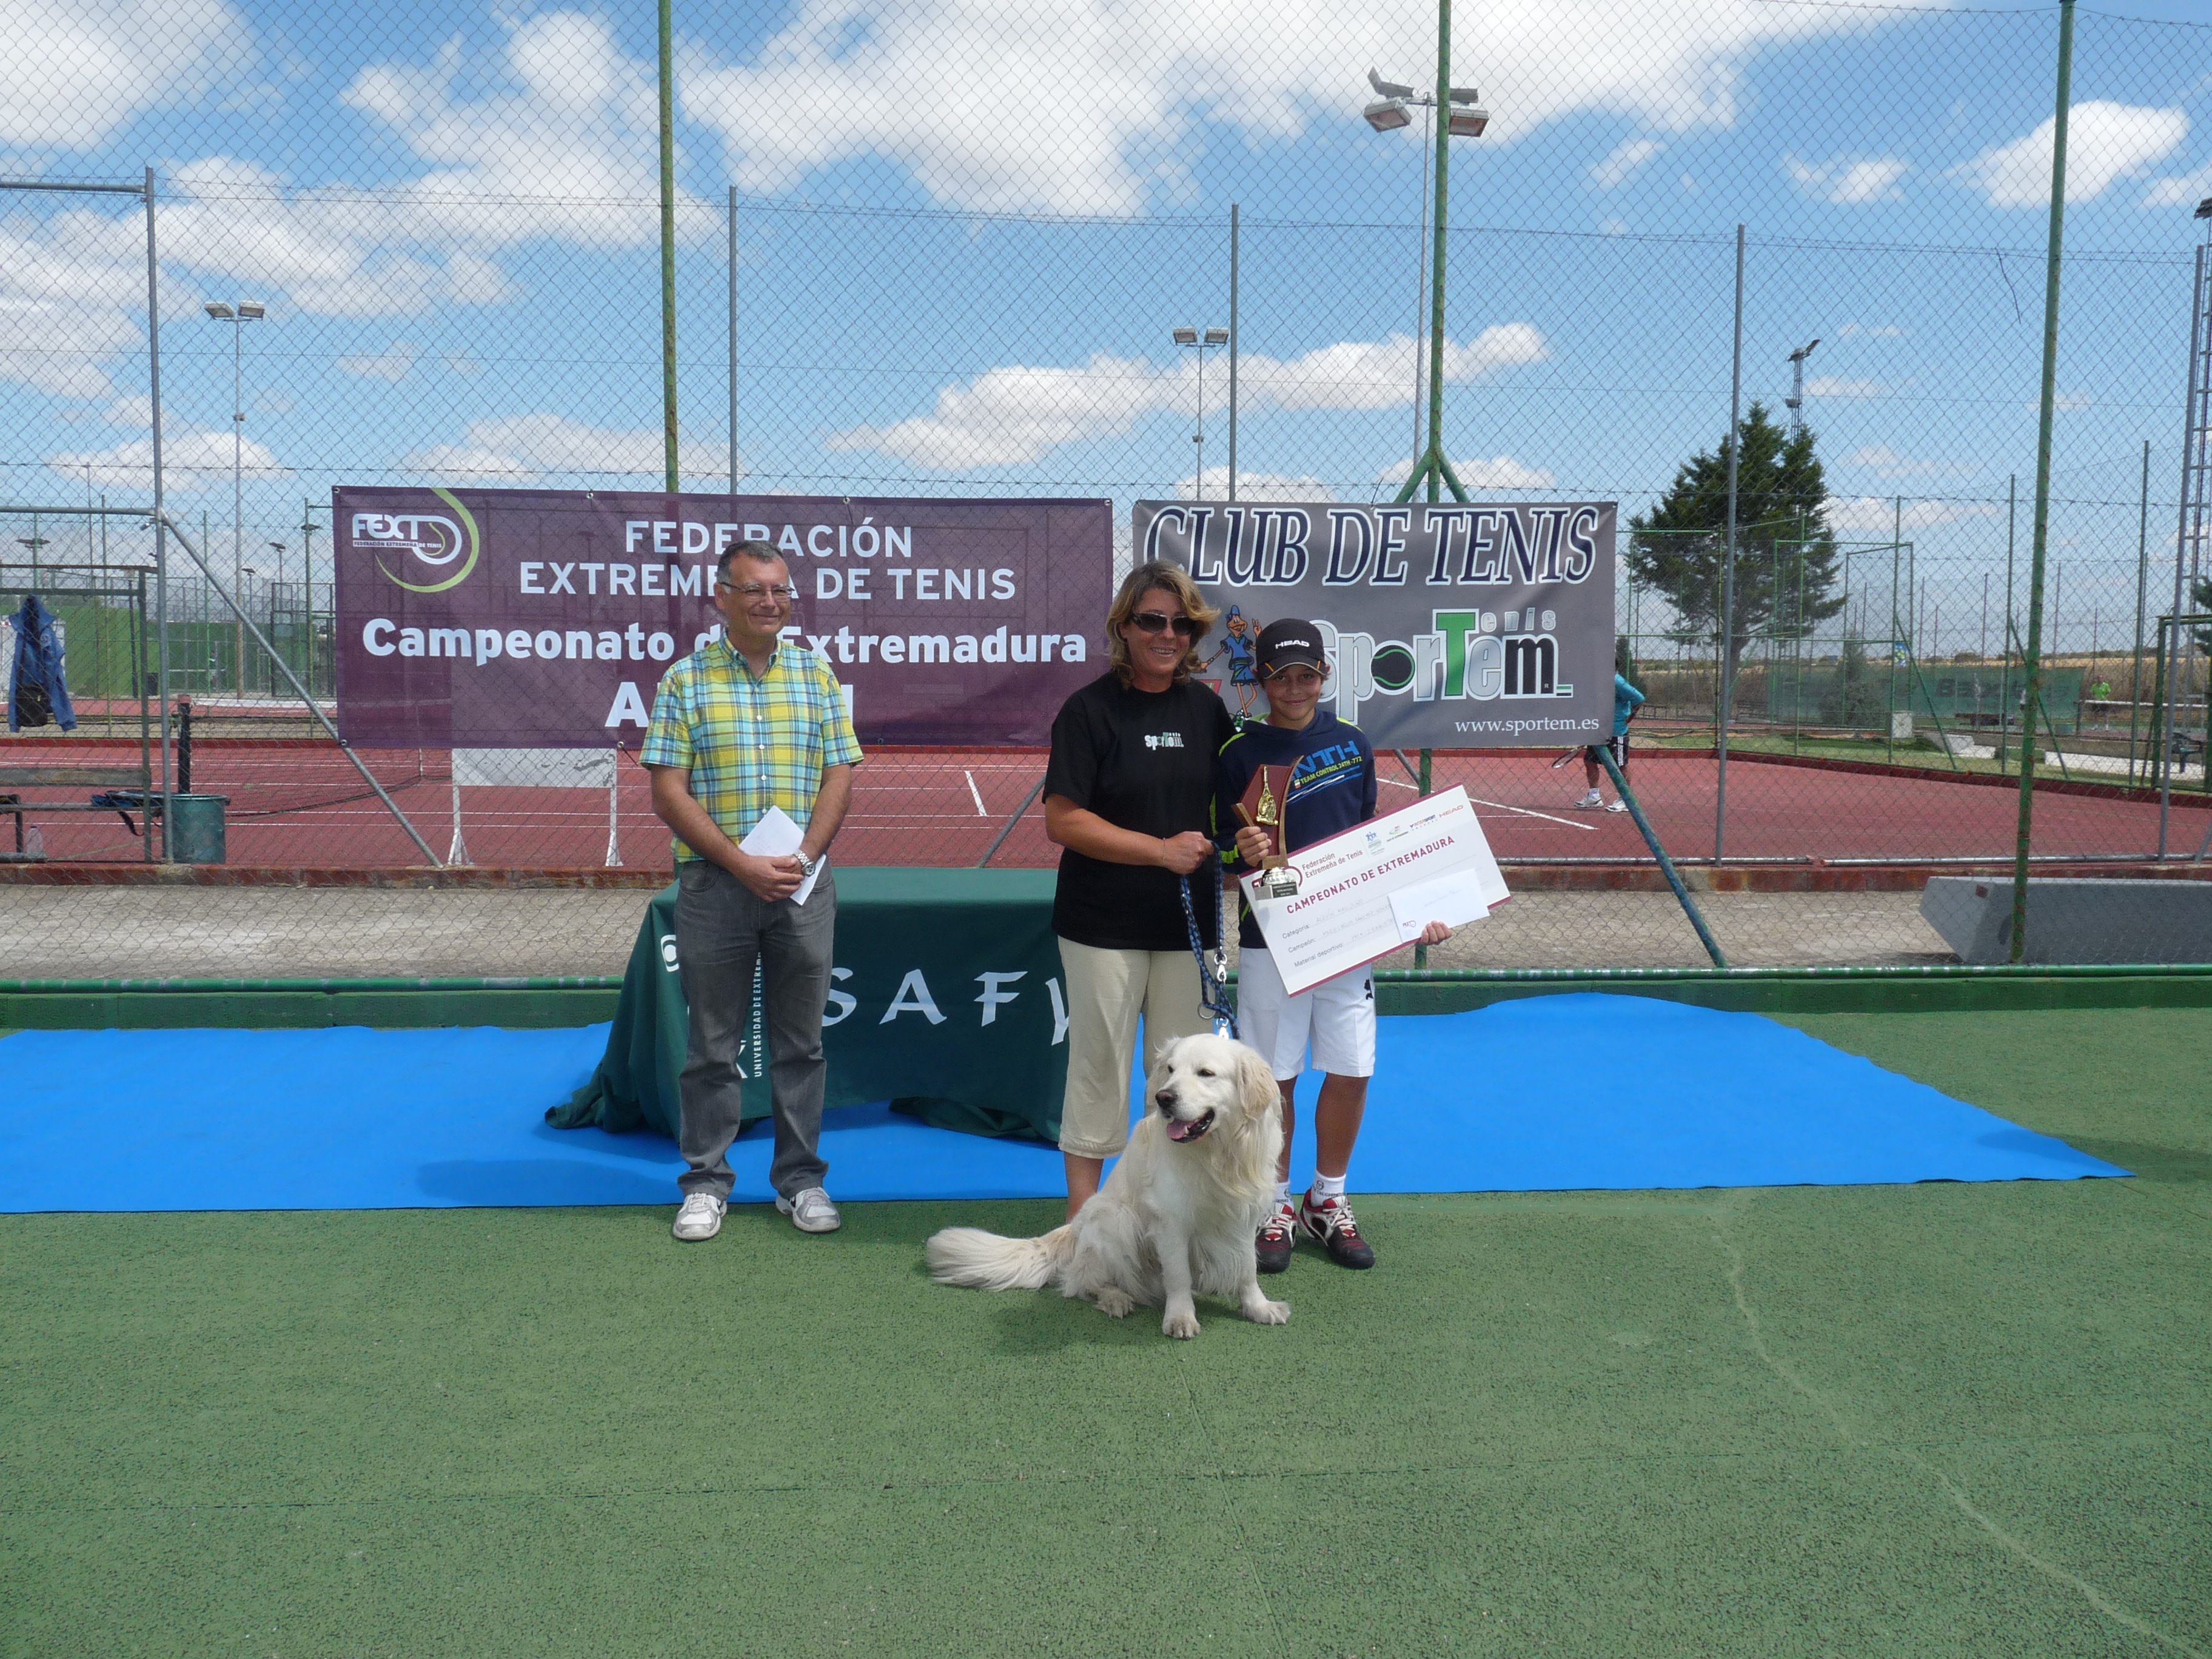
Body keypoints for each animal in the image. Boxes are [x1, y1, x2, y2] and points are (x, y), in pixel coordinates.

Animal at [925, 1032, 1290, 1339]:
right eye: (1171, 1069)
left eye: (1206, 1073)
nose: (1163, 1098)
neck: (1219, 1155)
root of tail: (1073, 1228)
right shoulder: (1170, 1223)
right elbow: (1178, 1276)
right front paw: (1181, 1318)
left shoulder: (1243, 1217)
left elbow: (1248, 1268)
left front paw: (1258, 1307)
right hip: (1114, 1217)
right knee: (1081, 1282)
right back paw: (1116, 1298)